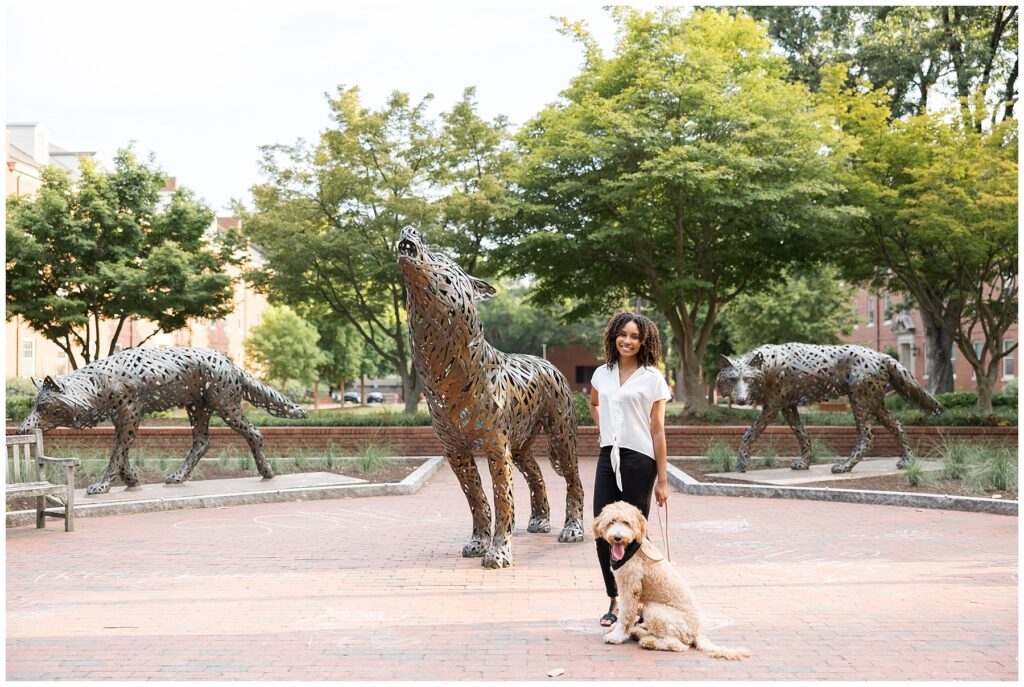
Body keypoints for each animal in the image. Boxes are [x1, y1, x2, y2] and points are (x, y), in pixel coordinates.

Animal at [593, 499, 753, 659]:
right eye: (612, 522)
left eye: (626, 523)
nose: (617, 537)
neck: (631, 550)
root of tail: (696, 633)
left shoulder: (630, 588)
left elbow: (626, 615)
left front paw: (617, 636)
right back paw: (639, 632)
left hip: (655, 611)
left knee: (677, 645)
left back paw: (648, 641)